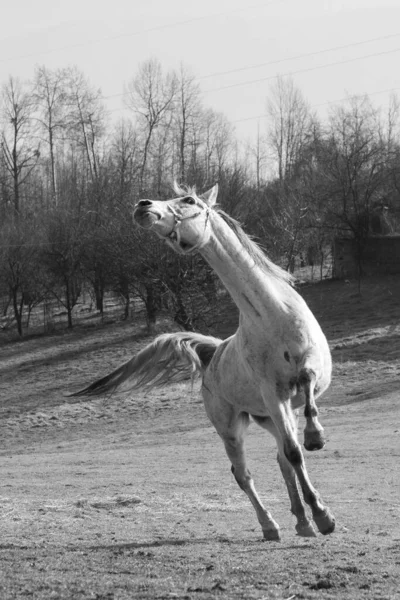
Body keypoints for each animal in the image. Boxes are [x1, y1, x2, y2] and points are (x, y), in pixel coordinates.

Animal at [71, 183, 334, 540]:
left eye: (189, 200)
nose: (143, 206)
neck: (272, 314)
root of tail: (213, 352)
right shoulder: (273, 394)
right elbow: (294, 452)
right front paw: (323, 515)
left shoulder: (311, 372)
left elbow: (306, 386)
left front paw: (316, 437)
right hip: (234, 427)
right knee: (246, 473)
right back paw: (274, 525)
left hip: (271, 417)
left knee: (281, 458)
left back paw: (302, 521)